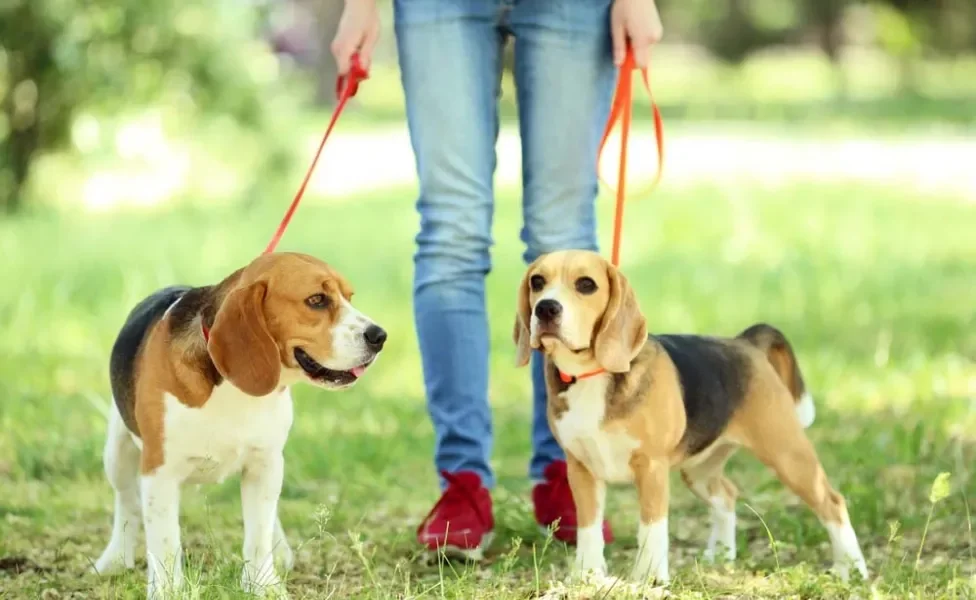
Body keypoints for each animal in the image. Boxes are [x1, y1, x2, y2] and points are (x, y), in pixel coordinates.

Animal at [91, 251, 386, 596]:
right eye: (317, 300)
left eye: (349, 297)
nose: (379, 336)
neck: (233, 390)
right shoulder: (159, 471)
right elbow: (164, 541)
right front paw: (167, 591)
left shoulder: (264, 464)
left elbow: (258, 533)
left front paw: (264, 586)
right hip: (117, 453)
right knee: (127, 503)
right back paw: (114, 560)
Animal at [510, 248, 868, 584]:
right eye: (537, 282)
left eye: (586, 285)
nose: (546, 309)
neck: (591, 375)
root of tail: (746, 343)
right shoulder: (581, 468)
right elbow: (588, 529)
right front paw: (587, 575)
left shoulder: (651, 468)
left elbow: (652, 528)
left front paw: (651, 578)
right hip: (699, 468)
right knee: (726, 495)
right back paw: (720, 556)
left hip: (787, 454)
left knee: (833, 502)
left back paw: (852, 568)